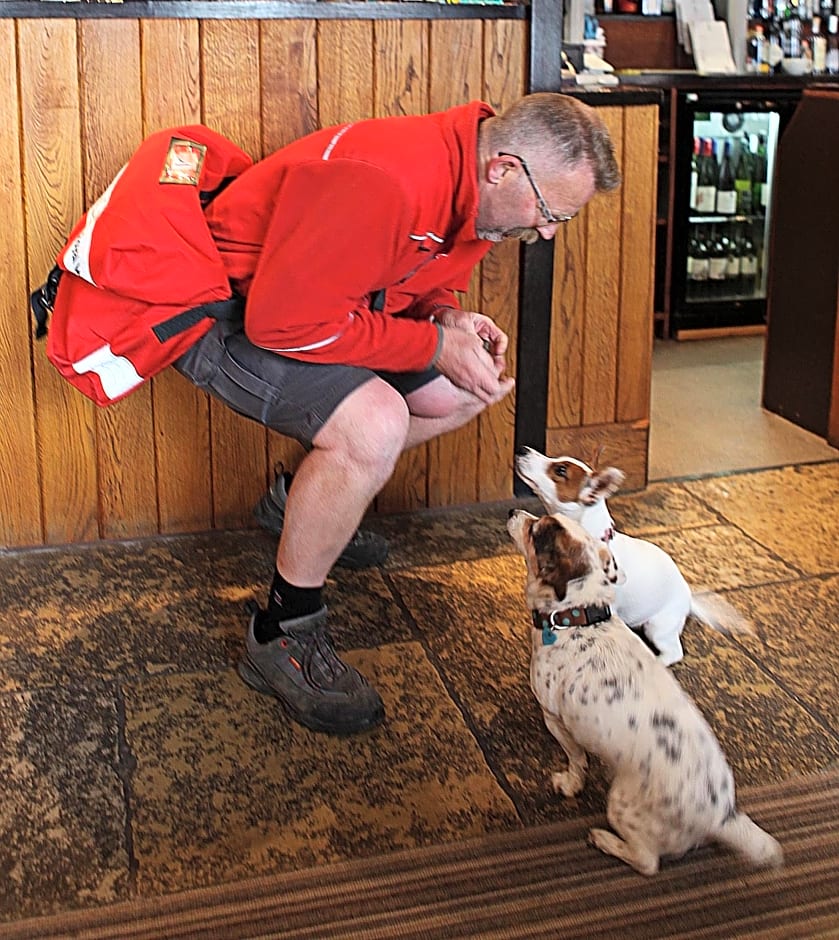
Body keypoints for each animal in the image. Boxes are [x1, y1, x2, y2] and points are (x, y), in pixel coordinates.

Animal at [506, 510, 788, 876]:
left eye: (535, 530)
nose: (513, 512)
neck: (579, 617)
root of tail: (722, 818)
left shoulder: (555, 719)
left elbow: (576, 761)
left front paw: (569, 785)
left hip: (620, 804)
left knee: (647, 861)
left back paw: (605, 840)